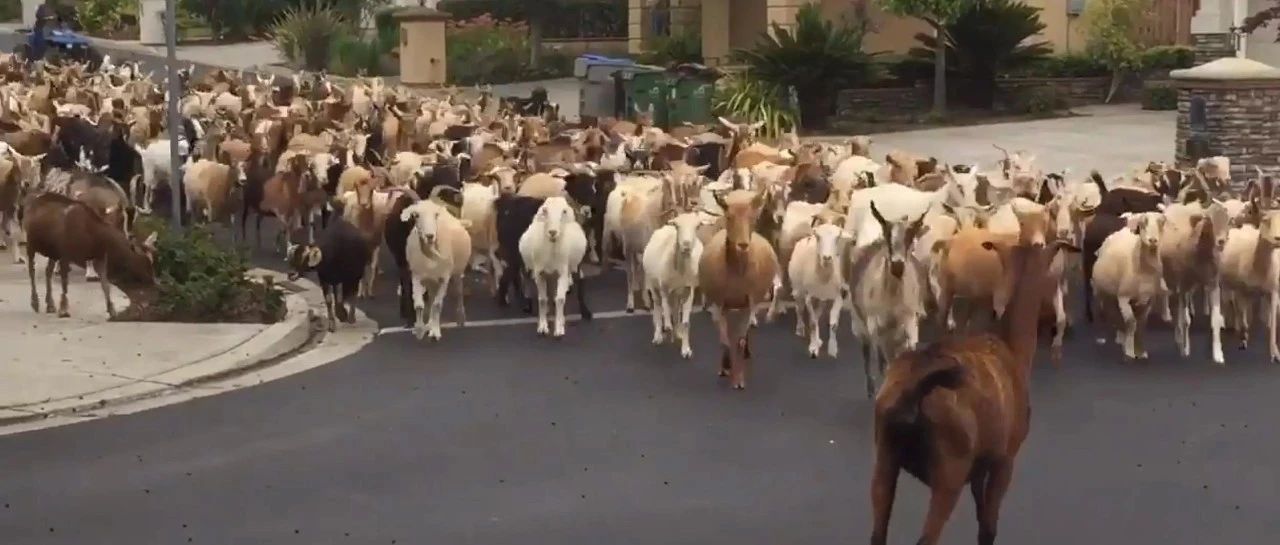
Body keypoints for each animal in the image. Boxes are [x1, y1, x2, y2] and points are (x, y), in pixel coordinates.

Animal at [23, 193, 157, 317]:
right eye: (144, 260)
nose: (152, 281)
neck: (96, 237)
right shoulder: (65, 254)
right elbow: (65, 282)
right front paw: (63, 309)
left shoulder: (100, 256)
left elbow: (105, 284)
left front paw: (111, 309)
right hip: (31, 244)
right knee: (31, 270)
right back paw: (35, 302)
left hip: (53, 252)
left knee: (48, 271)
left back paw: (50, 304)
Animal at [870, 237, 1080, 545]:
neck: (1011, 349)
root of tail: (914, 392)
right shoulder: (1004, 461)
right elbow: (989, 527)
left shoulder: (978, 468)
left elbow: (982, 519)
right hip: (949, 475)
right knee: (927, 538)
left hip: (885, 459)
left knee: (878, 532)